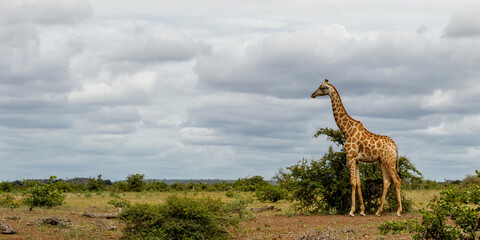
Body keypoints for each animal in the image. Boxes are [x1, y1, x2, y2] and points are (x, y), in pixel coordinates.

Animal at [312, 79, 402, 218]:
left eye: (321, 87)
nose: (313, 95)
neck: (346, 130)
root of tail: (395, 146)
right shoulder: (357, 159)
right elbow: (359, 183)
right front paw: (362, 211)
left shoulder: (350, 156)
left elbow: (353, 182)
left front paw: (351, 211)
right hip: (383, 161)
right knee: (387, 182)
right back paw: (378, 211)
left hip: (389, 161)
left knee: (397, 180)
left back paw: (398, 211)